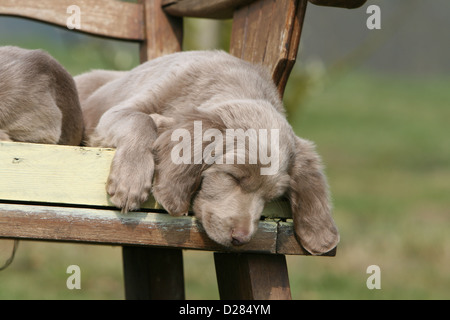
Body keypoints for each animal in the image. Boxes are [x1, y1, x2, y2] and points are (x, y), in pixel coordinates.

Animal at [75, 50, 340, 255]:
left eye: (271, 198)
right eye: (233, 177)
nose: (241, 239)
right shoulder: (118, 112)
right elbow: (142, 120)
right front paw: (130, 182)